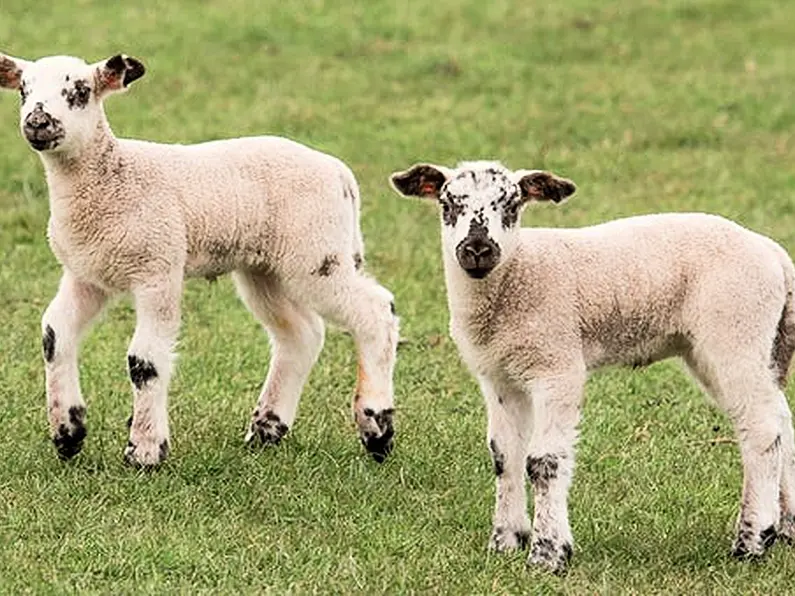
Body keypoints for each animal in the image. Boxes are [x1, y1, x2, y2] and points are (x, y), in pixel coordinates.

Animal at [0, 53, 398, 468]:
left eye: (79, 92)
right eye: (24, 91)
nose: (37, 122)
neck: (112, 177)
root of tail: (341, 173)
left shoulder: (158, 267)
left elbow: (144, 360)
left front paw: (145, 451)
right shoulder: (87, 275)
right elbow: (54, 334)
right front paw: (68, 435)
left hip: (317, 254)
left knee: (376, 312)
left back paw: (377, 432)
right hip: (266, 269)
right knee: (300, 334)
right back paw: (266, 431)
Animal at [392, 159, 795, 572]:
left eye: (512, 205)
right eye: (447, 204)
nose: (477, 249)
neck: (519, 273)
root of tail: (774, 254)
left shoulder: (557, 367)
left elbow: (543, 461)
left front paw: (548, 554)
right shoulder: (499, 378)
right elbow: (505, 457)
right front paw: (506, 541)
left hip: (735, 331)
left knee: (761, 429)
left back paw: (752, 541)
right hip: (731, 349)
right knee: (781, 419)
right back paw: (786, 529)